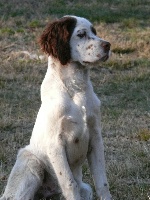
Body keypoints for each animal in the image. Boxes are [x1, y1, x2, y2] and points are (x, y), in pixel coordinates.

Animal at [0, 16, 111, 200]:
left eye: (94, 32)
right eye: (81, 34)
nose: (108, 45)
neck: (75, 88)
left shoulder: (96, 137)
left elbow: (102, 183)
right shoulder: (55, 143)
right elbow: (69, 183)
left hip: (86, 189)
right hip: (31, 162)